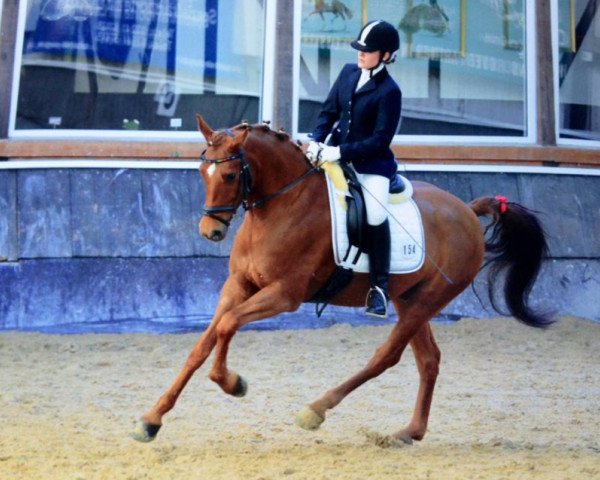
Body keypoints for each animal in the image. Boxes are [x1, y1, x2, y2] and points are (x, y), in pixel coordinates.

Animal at [131, 114, 552, 444]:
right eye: (202, 172)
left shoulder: (284, 294)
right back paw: (408, 433)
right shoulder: (238, 286)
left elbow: (227, 326)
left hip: (429, 300)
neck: (281, 205)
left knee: (388, 356)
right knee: (428, 359)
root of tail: (466, 209)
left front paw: (233, 383)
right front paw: (151, 420)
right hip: (410, 298)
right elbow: (203, 344)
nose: (210, 232)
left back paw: (316, 410)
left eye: (231, 174)